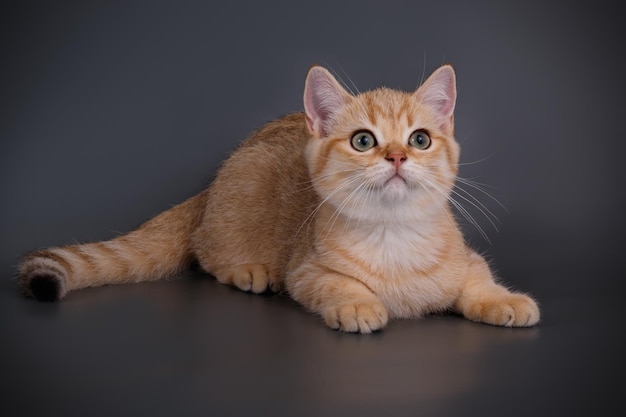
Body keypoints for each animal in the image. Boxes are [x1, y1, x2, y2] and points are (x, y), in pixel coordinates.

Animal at [17, 64, 540, 332]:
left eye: (420, 140)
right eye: (364, 141)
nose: (395, 156)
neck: (393, 236)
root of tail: (213, 182)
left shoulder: (467, 260)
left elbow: (479, 280)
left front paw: (505, 300)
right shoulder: (306, 269)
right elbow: (337, 284)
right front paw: (359, 305)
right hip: (235, 211)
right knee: (206, 251)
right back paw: (248, 270)